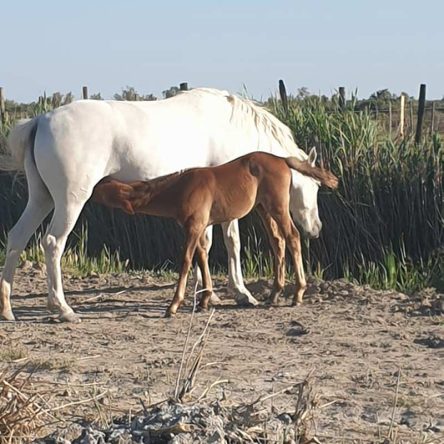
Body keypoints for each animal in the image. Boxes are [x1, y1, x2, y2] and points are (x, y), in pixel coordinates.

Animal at [92, 152, 338, 316]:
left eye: (103, 188)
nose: (91, 188)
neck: (180, 188)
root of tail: (282, 159)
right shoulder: (199, 227)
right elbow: (202, 256)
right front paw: (204, 300)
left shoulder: (194, 226)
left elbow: (186, 260)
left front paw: (173, 305)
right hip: (263, 208)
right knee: (278, 241)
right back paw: (274, 294)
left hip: (278, 207)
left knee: (293, 237)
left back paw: (297, 294)